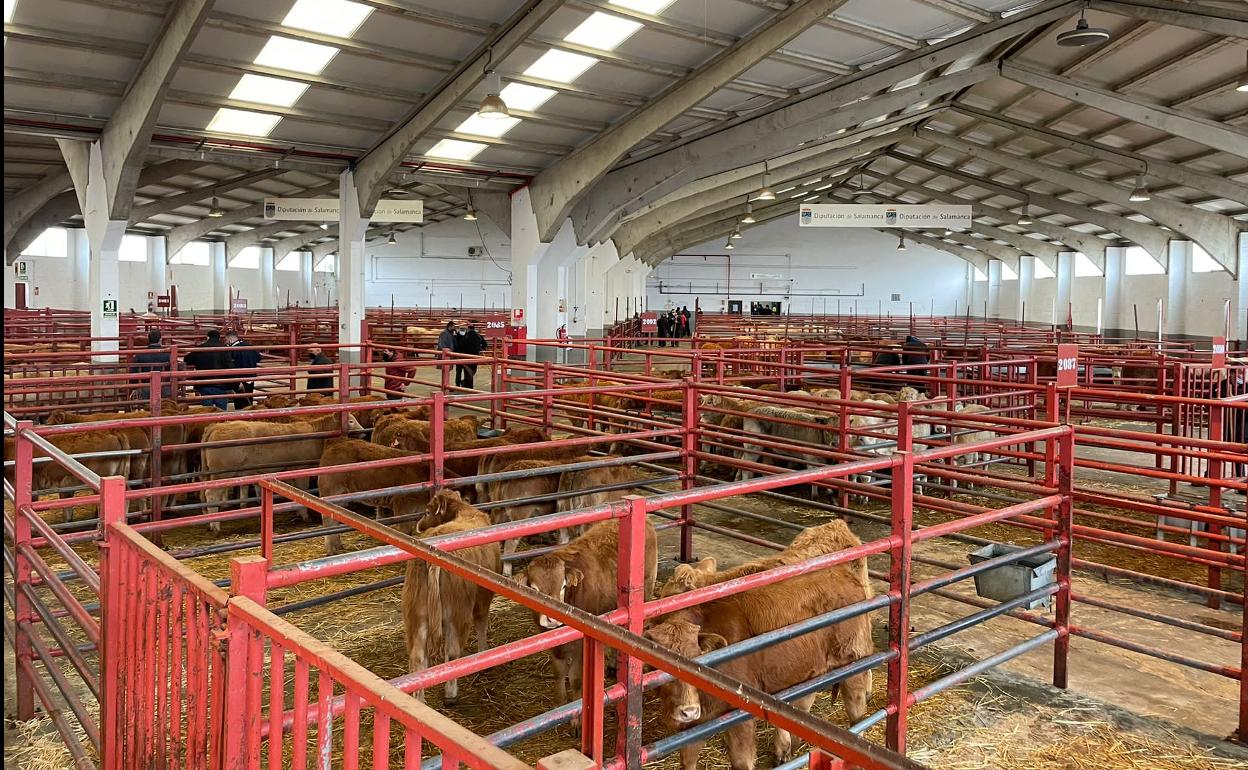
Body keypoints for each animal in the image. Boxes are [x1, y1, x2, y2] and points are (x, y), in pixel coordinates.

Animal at [399, 491, 496, 703]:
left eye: (427, 512)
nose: (418, 526)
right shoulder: (483, 598)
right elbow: (481, 623)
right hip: (456, 615)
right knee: (451, 653)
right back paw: (451, 695)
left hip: (416, 615)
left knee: (418, 657)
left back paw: (419, 700)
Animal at [516, 514, 658, 703]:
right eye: (533, 589)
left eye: (563, 586)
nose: (552, 619)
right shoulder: (553, 645)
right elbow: (559, 675)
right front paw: (561, 702)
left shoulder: (581, 645)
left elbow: (576, 679)